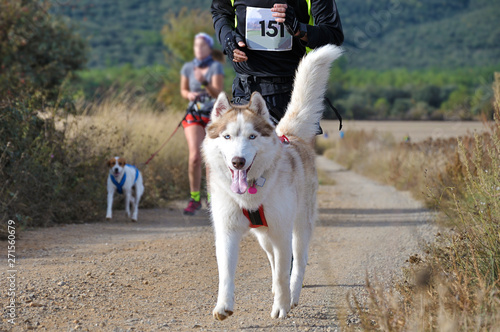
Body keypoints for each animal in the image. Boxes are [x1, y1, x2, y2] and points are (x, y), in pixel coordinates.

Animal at [201, 44, 342, 320]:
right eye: (227, 136)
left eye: (252, 136)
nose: (238, 162)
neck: (251, 193)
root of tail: (289, 135)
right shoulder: (226, 231)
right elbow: (226, 274)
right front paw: (223, 305)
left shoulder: (281, 231)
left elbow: (282, 273)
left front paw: (281, 306)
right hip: (264, 238)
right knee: (274, 261)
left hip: (299, 227)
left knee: (297, 262)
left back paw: (293, 295)